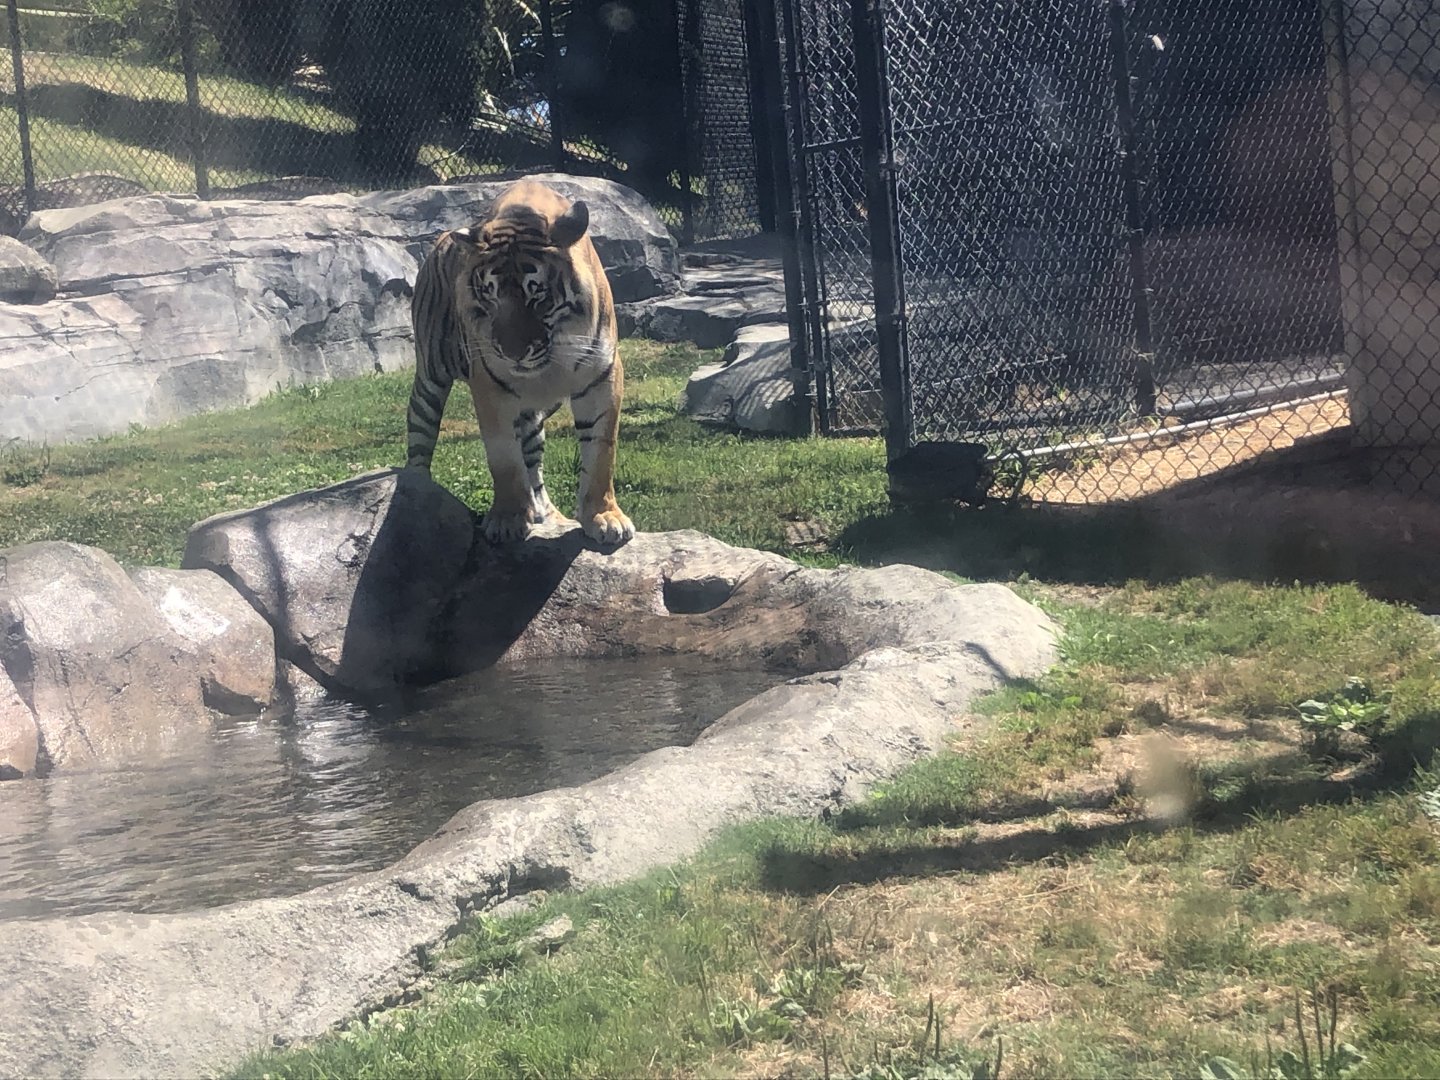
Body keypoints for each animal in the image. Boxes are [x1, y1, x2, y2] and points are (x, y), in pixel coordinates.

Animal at [405, 179, 635, 546]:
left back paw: (547, 513)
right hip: (431, 376)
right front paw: (508, 519)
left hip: (534, 416)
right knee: (420, 435)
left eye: (536, 293)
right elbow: (505, 460)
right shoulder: (490, 387)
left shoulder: (603, 376)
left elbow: (601, 452)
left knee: (534, 462)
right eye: (489, 293)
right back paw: (417, 493)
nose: (512, 353)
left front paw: (603, 517)